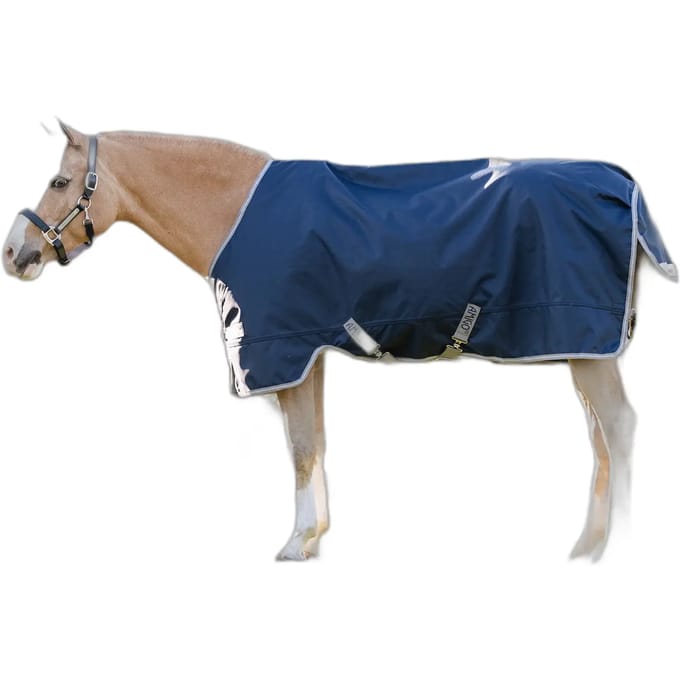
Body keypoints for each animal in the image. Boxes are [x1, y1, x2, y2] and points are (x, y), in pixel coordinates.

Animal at [3, 122, 676, 561]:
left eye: (59, 181)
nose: (16, 253)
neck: (235, 211)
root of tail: (620, 183)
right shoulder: (308, 356)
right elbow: (315, 443)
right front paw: (316, 534)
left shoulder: (282, 350)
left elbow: (301, 448)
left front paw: (295, 542)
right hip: (579, 349)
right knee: (601, 435)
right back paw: (589, 545)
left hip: (586, 348)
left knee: (618, 427)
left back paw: (617, 547)